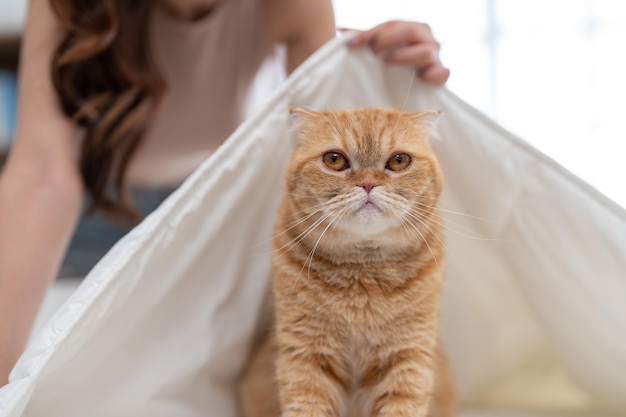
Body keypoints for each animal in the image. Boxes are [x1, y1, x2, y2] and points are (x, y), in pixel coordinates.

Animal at [239, 108, 454, 416]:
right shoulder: (304, 355)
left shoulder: (409, 357)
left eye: (398, 161)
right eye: (334, 159)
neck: (363, 274)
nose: (368, 184)